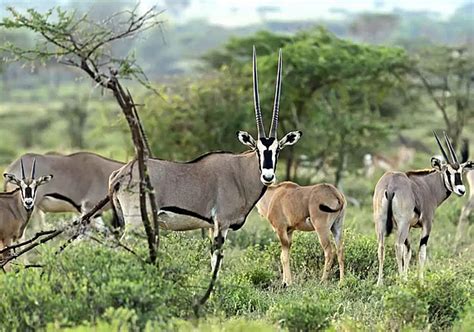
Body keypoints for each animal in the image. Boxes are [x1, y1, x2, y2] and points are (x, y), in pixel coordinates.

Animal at [109, 47, 302, 296]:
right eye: (257, 149)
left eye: (278, 149)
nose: (268, 176)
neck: (240, 172)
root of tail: (122, 173)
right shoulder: (222, 223)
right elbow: (216, 260)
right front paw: (213, 292)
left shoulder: (211, 226)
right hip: (135, 223)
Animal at [376, 132, 472, 286]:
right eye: (447, 172)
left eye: (461, 171)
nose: (461, 190)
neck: (427, 186)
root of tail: (390, 185)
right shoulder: (426, 224)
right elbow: (421, 252)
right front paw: (419, 282)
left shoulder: (409, 227)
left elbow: (408, 252)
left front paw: (406, 278)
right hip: (402, 224)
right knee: (397, 245)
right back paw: (398, 281)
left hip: (381, 222)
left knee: (381, 247)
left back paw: (380, 283)